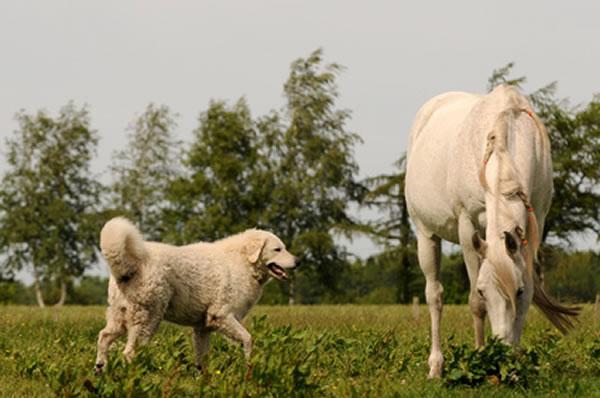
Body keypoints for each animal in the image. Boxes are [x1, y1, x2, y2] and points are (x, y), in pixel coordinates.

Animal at [94, 216, 298, 372]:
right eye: (278, 249)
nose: (299, 261)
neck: (242, 261)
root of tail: (131, 265)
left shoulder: (203, 328)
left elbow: (202, 359)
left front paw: (202, 380)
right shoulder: (222, 315)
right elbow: (248, 339)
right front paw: (249, 367)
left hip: (120, 317)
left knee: (104, 337)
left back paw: (100, 370)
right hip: (147, 318)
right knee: (130, 352)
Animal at [406, 85, 580, 378]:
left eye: (517, 291)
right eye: (483, 292)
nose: (502, 355)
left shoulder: (536, 221)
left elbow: (530, 292)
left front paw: (516, 368)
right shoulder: (467, 226)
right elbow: (474, 305)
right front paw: (479, 359)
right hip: (425, 234)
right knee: (434, 296)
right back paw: (436, 366)